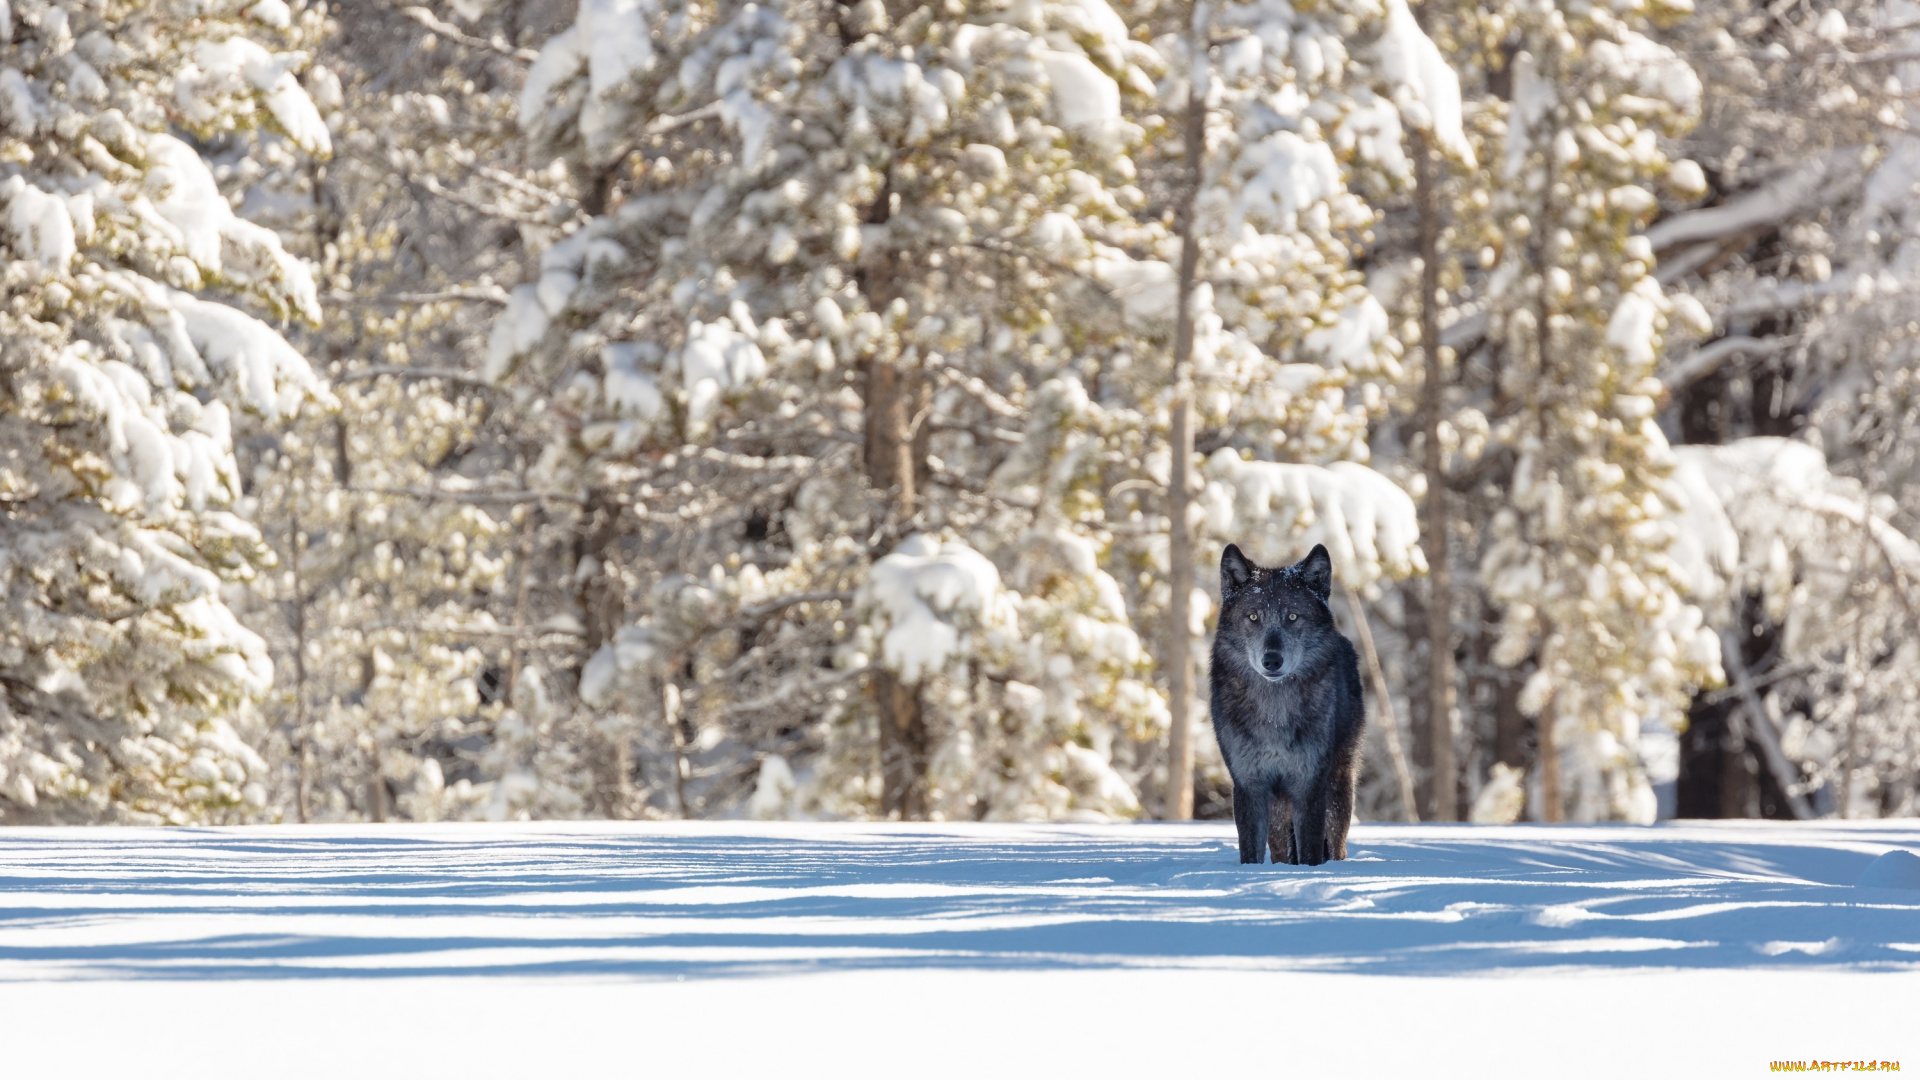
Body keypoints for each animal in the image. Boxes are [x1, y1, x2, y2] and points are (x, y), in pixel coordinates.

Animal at [1213, 541, 1367, 860]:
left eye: (1293, 616)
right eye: (1254, 617)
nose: (1272, 660)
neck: (1274, 713)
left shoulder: (1309, 786)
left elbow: (1310, 853)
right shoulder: (1249, 786)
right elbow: (1250, 854)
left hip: (1338, 789)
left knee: (1337, 845)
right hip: (1278, 809)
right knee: (1281, 851)